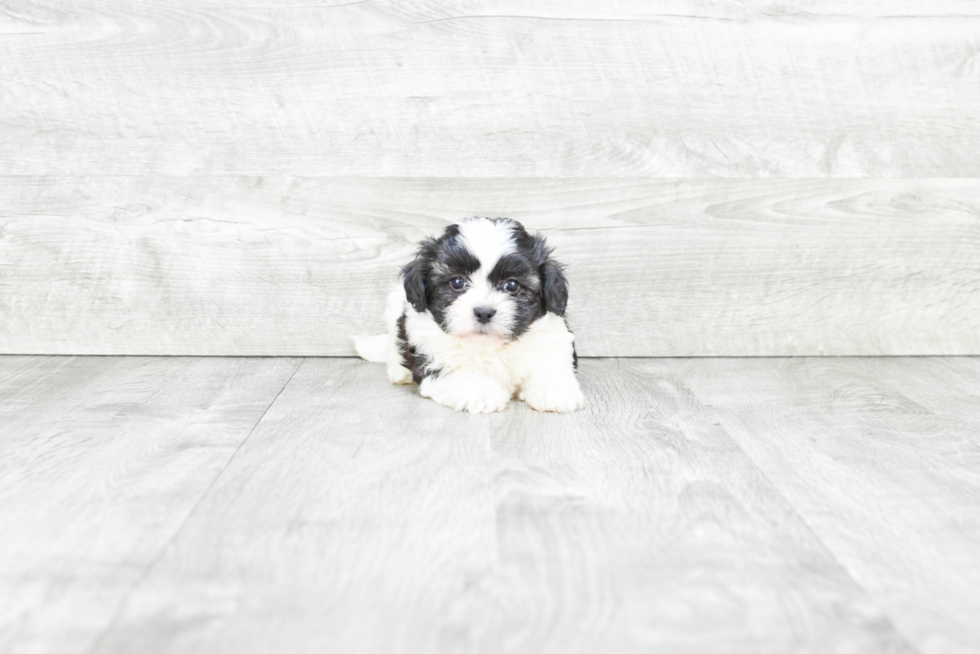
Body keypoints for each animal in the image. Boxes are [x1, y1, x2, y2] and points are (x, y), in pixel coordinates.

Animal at [360, 218, 588, 412]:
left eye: (512, 285)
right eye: (457, 282)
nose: (484, 312)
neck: (491, 347)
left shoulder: (553, 340)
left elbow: (550, 364)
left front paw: (555, 391)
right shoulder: (434, 357)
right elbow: (460, 373)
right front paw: (482, 393)